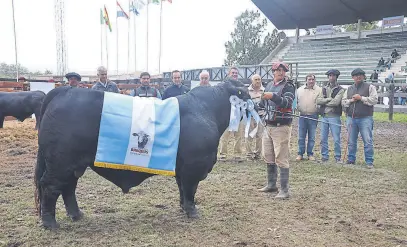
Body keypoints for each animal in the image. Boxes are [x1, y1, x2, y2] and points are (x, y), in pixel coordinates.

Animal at [35, 81, 252, 230]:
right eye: (246, 94)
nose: (257, 105)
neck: (207, 110)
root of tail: (65, 90)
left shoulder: (181, 168)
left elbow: (182, 189)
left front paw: (183, 208)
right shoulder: (193, 167)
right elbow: (190, 190)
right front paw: (192, 212)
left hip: (73, 165)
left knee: (68, 188)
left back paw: (77, 215)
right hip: (60, 163)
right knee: (50, 187)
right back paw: (50, 223)